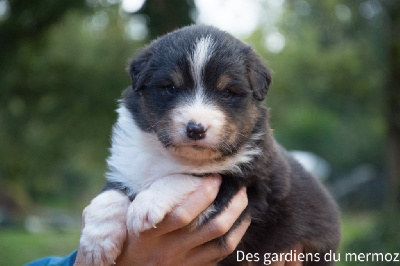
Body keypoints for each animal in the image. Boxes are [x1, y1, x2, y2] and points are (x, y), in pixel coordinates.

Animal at [79, 25, 340, 266]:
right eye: (170, 88)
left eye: (227, 92)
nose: (196, 129)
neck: (174, 156)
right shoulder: (128, 166)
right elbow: (110, 195)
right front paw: (96, 242)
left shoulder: (245, 186)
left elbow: (186, 177)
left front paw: (146, 205)